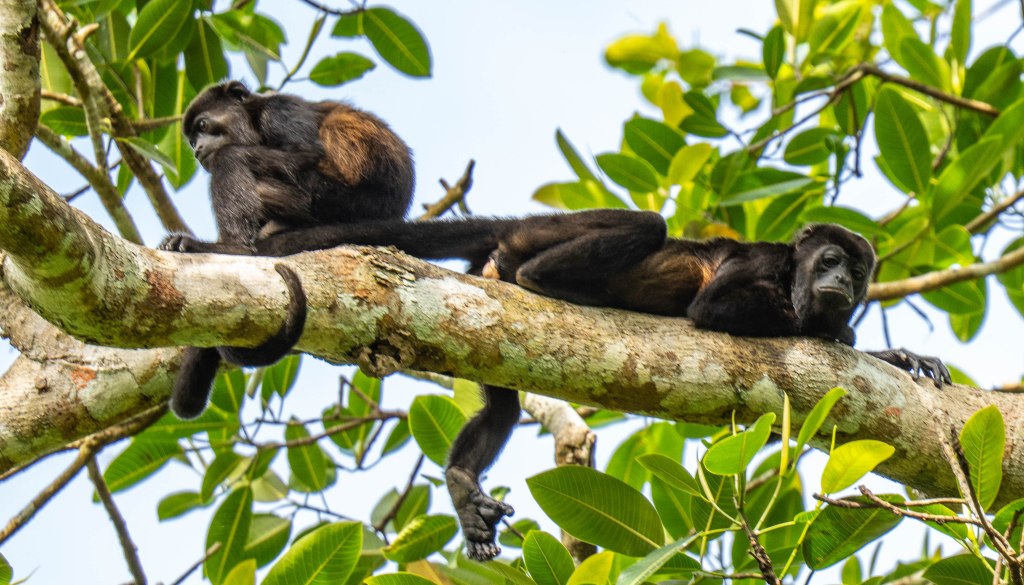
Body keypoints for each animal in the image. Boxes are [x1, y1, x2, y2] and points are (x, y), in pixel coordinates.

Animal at [159, 81, 414, 420]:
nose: (198, 150)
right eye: (190, 141)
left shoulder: (279, 111)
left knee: (231, 158)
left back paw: (233, 247)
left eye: (202, 126)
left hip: (327, 197)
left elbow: (304, 152)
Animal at [249, 208, 951, 560]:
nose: (839, 283)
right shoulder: (761, 261)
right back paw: (546, 279)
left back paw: (461, 483)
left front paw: (898, 354)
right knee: (645, 225)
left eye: (856, 269)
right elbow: (714, 308)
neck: (792, 274)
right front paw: (845, 332)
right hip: (544, 232)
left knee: (501, 405)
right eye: (828, 259)